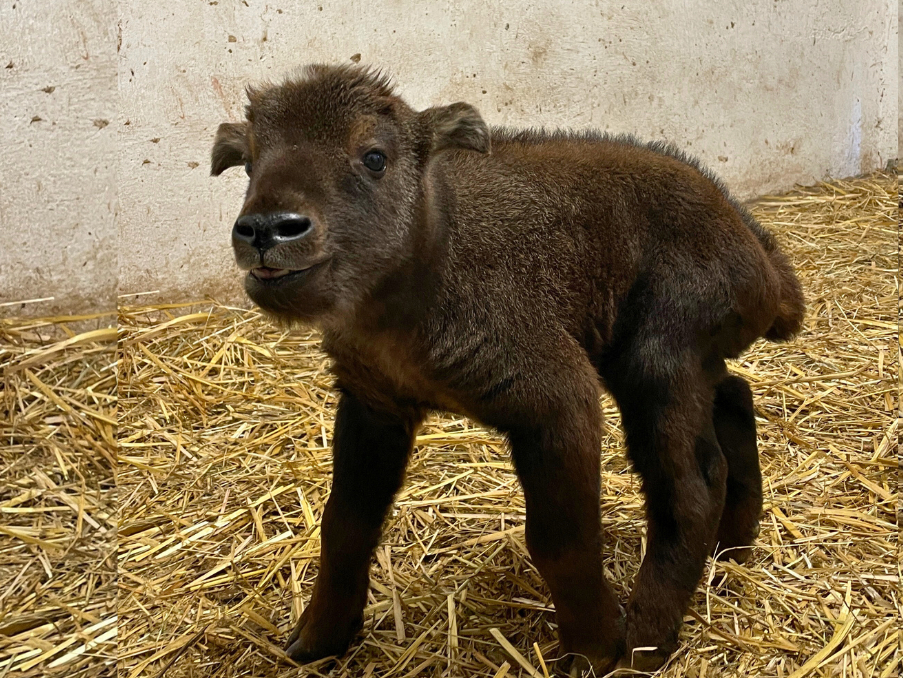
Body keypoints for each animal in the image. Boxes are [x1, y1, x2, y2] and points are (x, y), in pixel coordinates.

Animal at [214, 63, 804, 676]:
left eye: (375, 156)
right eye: (249, 161)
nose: (267, 229)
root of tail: (766, 267)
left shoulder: (555, 397)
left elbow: (561, 540)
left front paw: (593, 649)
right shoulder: (373, 402)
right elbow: (345, 525)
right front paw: (318, 638)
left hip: (663, 350)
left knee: (692, 486)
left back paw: (645, 640)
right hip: (664, 357)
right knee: (734, 395)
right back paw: (733, 547)